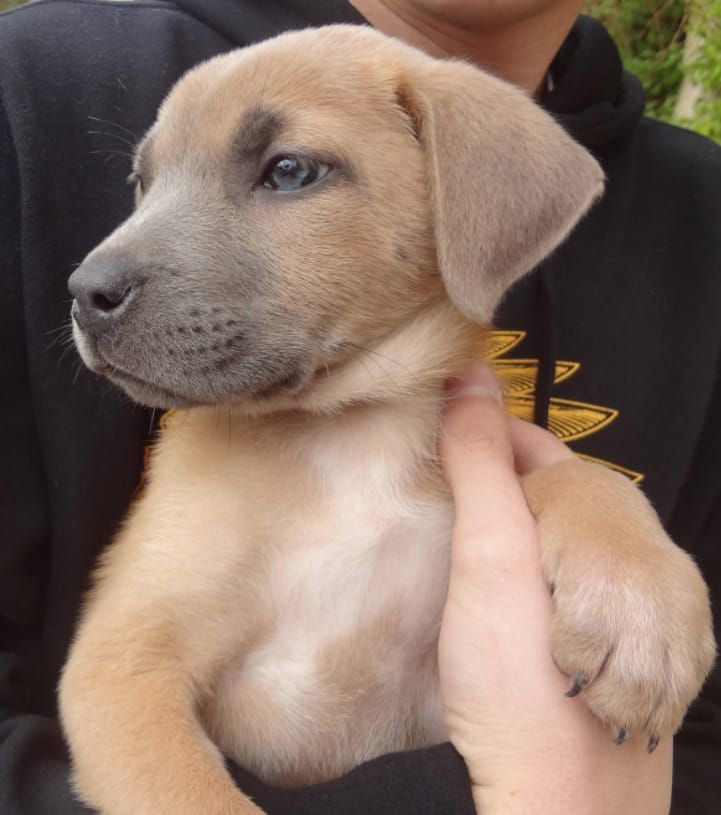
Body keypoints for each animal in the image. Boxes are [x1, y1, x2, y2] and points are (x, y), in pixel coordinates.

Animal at [60, 25, 716, 815]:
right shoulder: (124, 665)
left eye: (287, 171)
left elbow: (582, 475)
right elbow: (202, 799)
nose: (85, 292)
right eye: (143, 182)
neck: (350, 431)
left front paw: (640, 606)